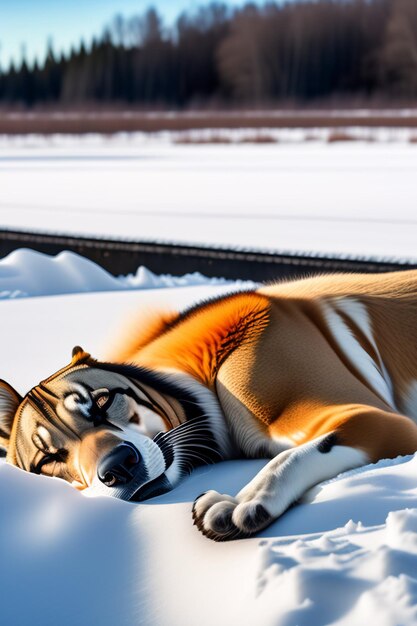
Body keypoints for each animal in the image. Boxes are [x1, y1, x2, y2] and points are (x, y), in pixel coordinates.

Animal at [0, 270, 416, 540]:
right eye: (49, 459)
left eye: (102, 401)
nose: (119, 467)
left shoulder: (379, 419)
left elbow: (291, 455)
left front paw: (241, 501)